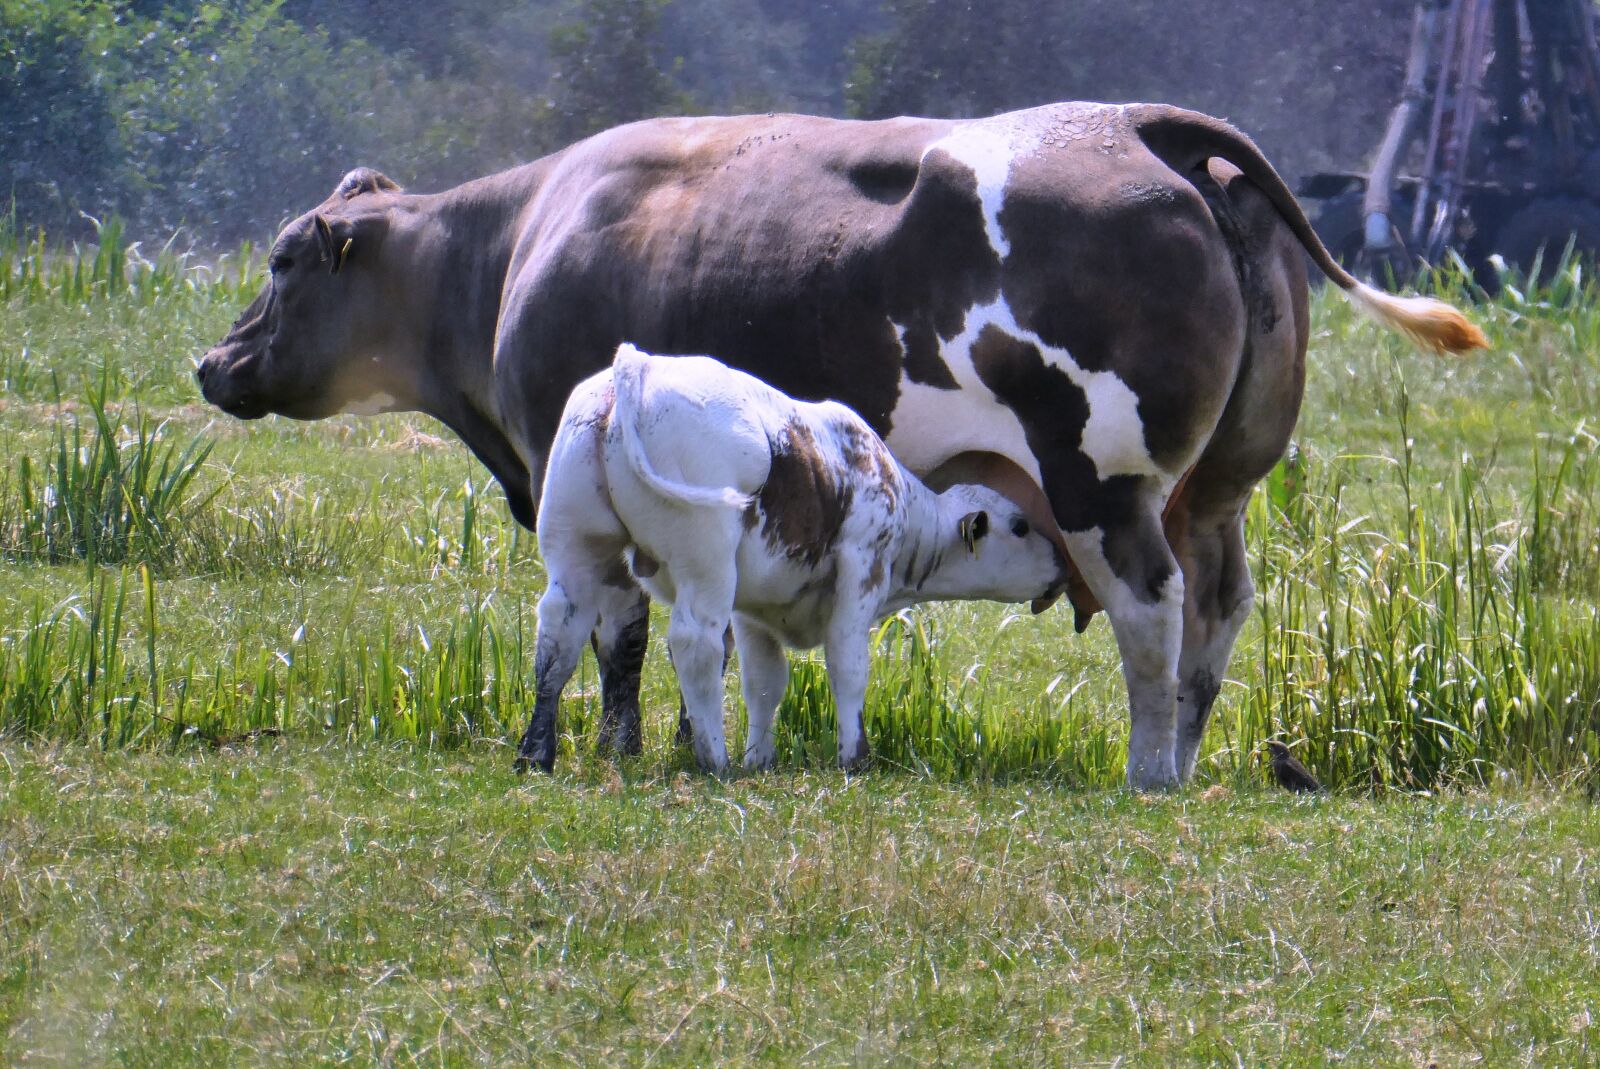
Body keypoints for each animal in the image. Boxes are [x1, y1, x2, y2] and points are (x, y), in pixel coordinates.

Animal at [522, 344, 1068, 773]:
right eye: (1021, 526)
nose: (1062, 566)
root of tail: (639, 365)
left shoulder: (753, 608)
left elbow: (764, 683)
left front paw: (759, 759)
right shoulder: (861, 570)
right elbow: (848, 665)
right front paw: (853, 757)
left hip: (575, 547)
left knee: (559, 633)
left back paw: (534, 753)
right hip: (706, 562)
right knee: (695, 643)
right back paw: (713, 760)